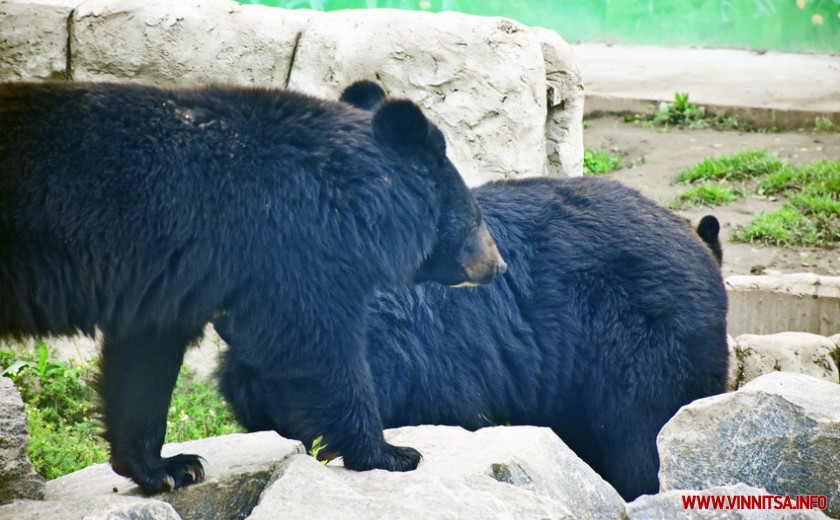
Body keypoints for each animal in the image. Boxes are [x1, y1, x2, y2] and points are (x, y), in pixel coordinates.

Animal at [0, 80, 506, 494]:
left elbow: (145, 358)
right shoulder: (277, 241)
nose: (498, 265)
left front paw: (168, 467)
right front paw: (391, 453)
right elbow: (313, 346)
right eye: (474, 218)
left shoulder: (170, 276)